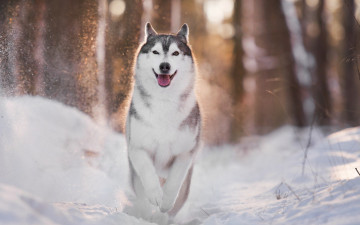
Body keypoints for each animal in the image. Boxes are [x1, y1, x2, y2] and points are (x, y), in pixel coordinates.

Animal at [126, 22, 200, 221]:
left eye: (175, 53)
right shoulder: (138, 147)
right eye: (155, 52)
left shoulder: (184, 153)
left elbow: (174, 183)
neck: (164, 101)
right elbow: (147, 172)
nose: (165, 66)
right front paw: (155, 196)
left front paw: (165, 202)